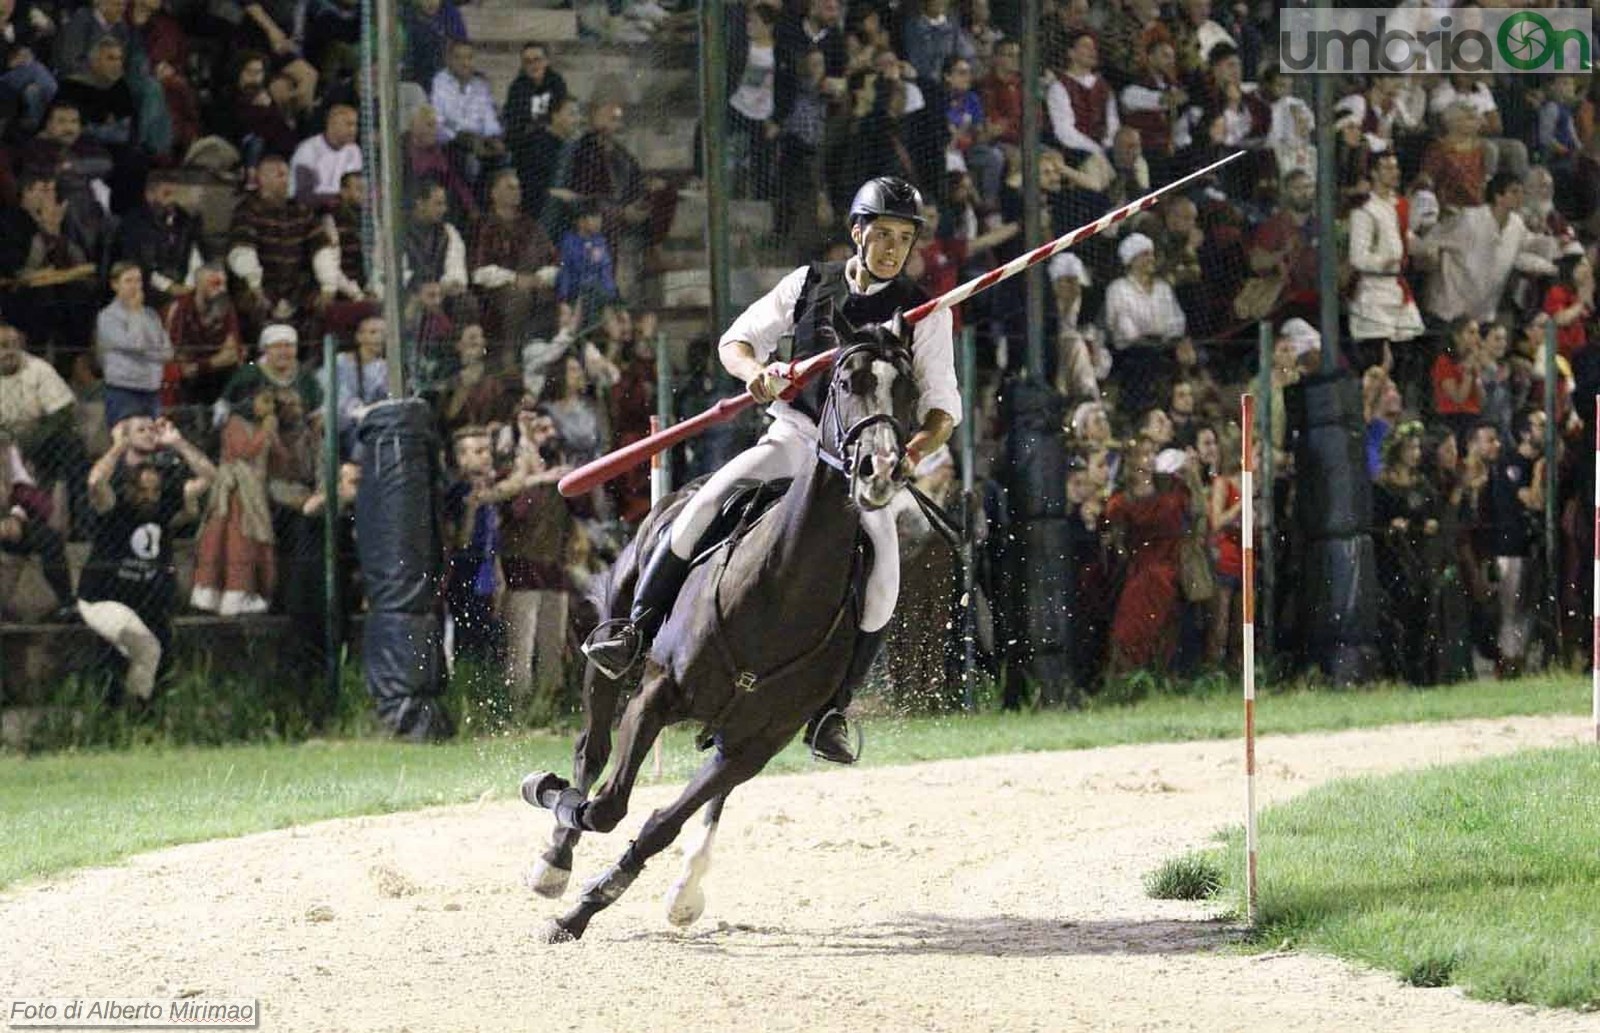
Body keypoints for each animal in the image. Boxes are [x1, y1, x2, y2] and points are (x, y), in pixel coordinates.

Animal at [524, 334, 921, 946]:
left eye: (908, 389)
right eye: (845, 381)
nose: (879, 470)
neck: (781, 588)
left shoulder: (755, 744)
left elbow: (662, 823)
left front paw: (593, 903)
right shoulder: (655, 696)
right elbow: (605, 804)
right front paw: (550, 801)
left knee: (703, 798)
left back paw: (684, 888)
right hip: (611, 642)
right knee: (591, 747)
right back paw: (554, 858)